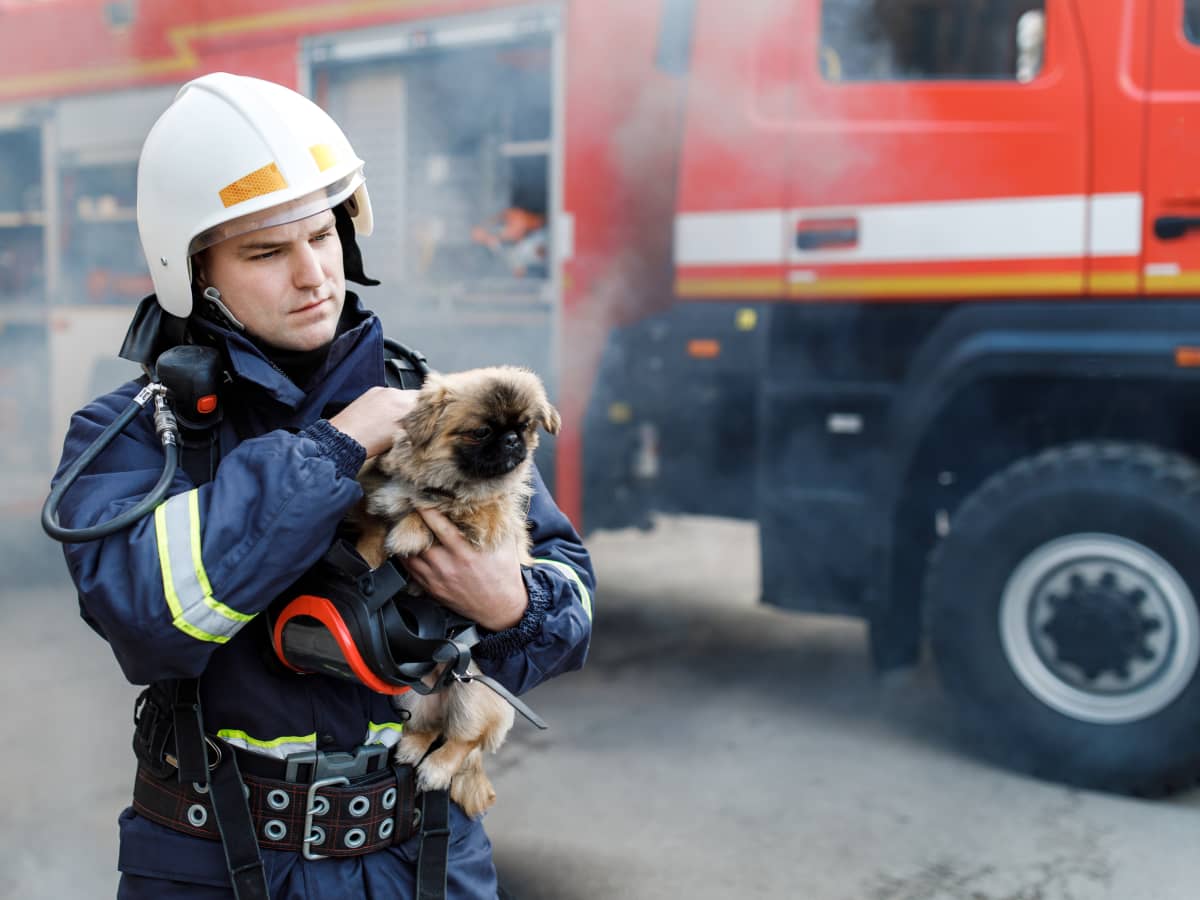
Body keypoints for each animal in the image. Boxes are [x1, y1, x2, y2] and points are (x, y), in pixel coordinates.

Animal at [352, 367, 559, 816]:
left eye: (524, 426)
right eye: (481, 432)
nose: (512, 440)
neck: (439, 480)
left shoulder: (485, 515)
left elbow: (441, 510)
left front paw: (410, 532)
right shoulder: (379, 496)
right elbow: (376, 522)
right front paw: (369, 556)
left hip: (474, 697)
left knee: (461, 740)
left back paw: (436, 769)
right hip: (408, 700)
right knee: (430, 728)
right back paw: (412, 748)